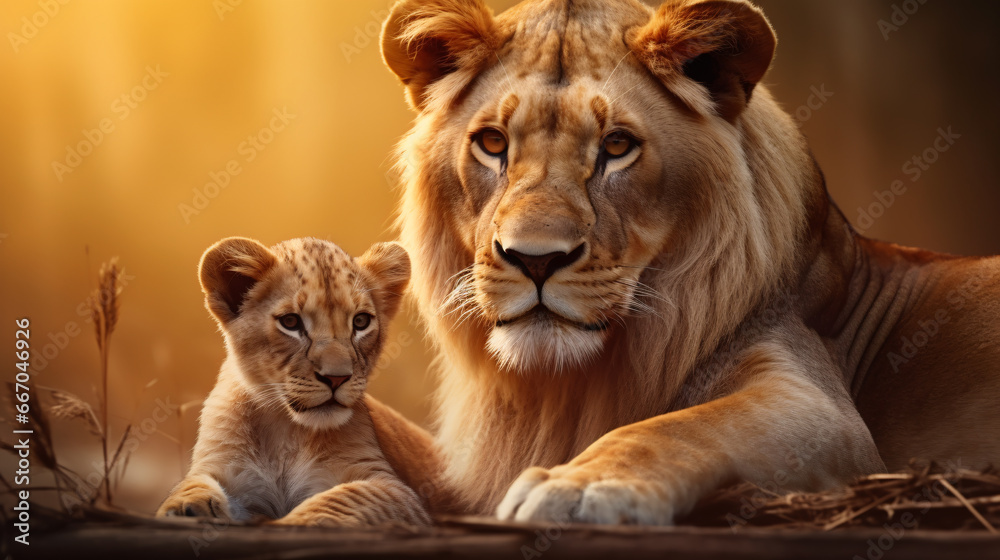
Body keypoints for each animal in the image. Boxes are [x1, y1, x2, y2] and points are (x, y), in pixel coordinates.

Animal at [374, 0, 1000, 524]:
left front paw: (581, 484)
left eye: (617, 146)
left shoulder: (818, 405)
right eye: (493, 144)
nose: (536, 260)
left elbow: (679, 426)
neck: (562, 387)